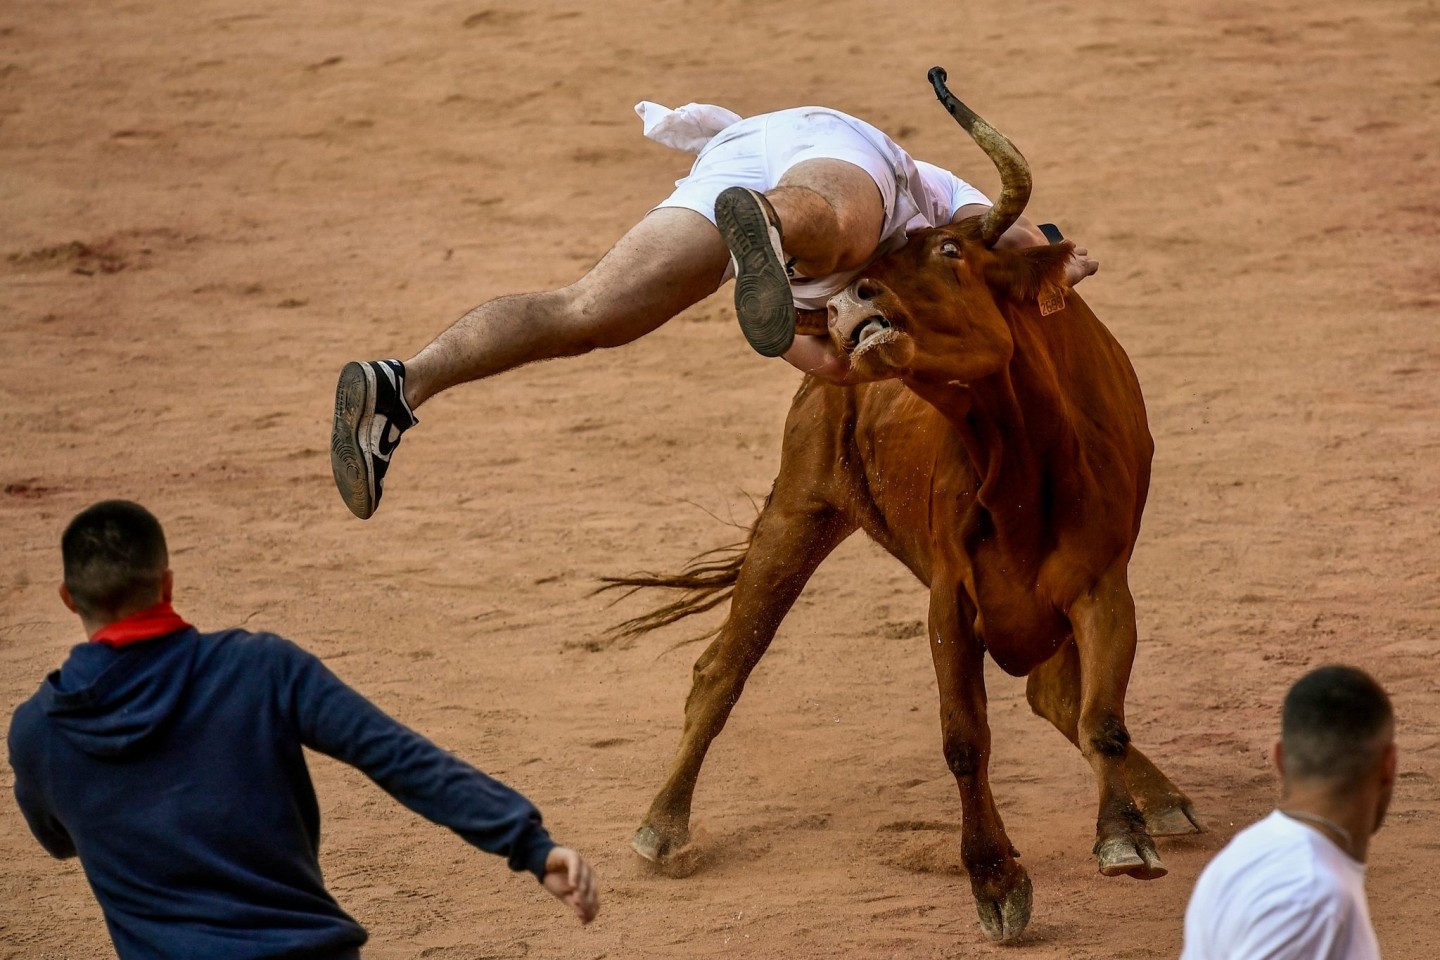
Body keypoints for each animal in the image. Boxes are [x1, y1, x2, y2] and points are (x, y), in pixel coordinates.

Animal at [613, 71, 1198, 944]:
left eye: (951, 251)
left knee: (1058, 698)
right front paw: (994, 879)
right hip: (798, 511)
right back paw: (663, 824)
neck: (1023, 460)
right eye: (880, 260)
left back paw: (1162, 801)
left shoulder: (1101, 586)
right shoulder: (951, 599)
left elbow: (1100, 716)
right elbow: (965, 738)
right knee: (722, 667)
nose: (848, 303)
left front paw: (1123, 834)